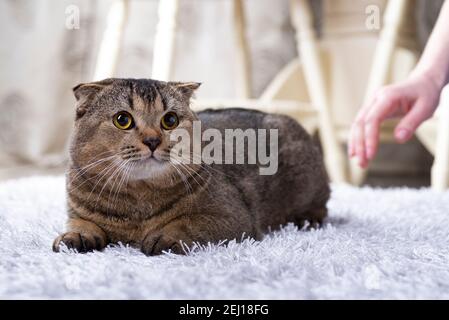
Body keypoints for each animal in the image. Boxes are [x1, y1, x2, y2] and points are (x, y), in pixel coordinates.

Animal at [53, 79, 328, 256]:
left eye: (170, 120)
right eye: (123, 120)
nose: (152, 141)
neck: (137, 205)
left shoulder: (233, 216)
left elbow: (188, 222)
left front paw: (166, 235)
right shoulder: (77, 211)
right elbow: (79, 224)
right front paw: (74, 236)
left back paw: (308, 220)